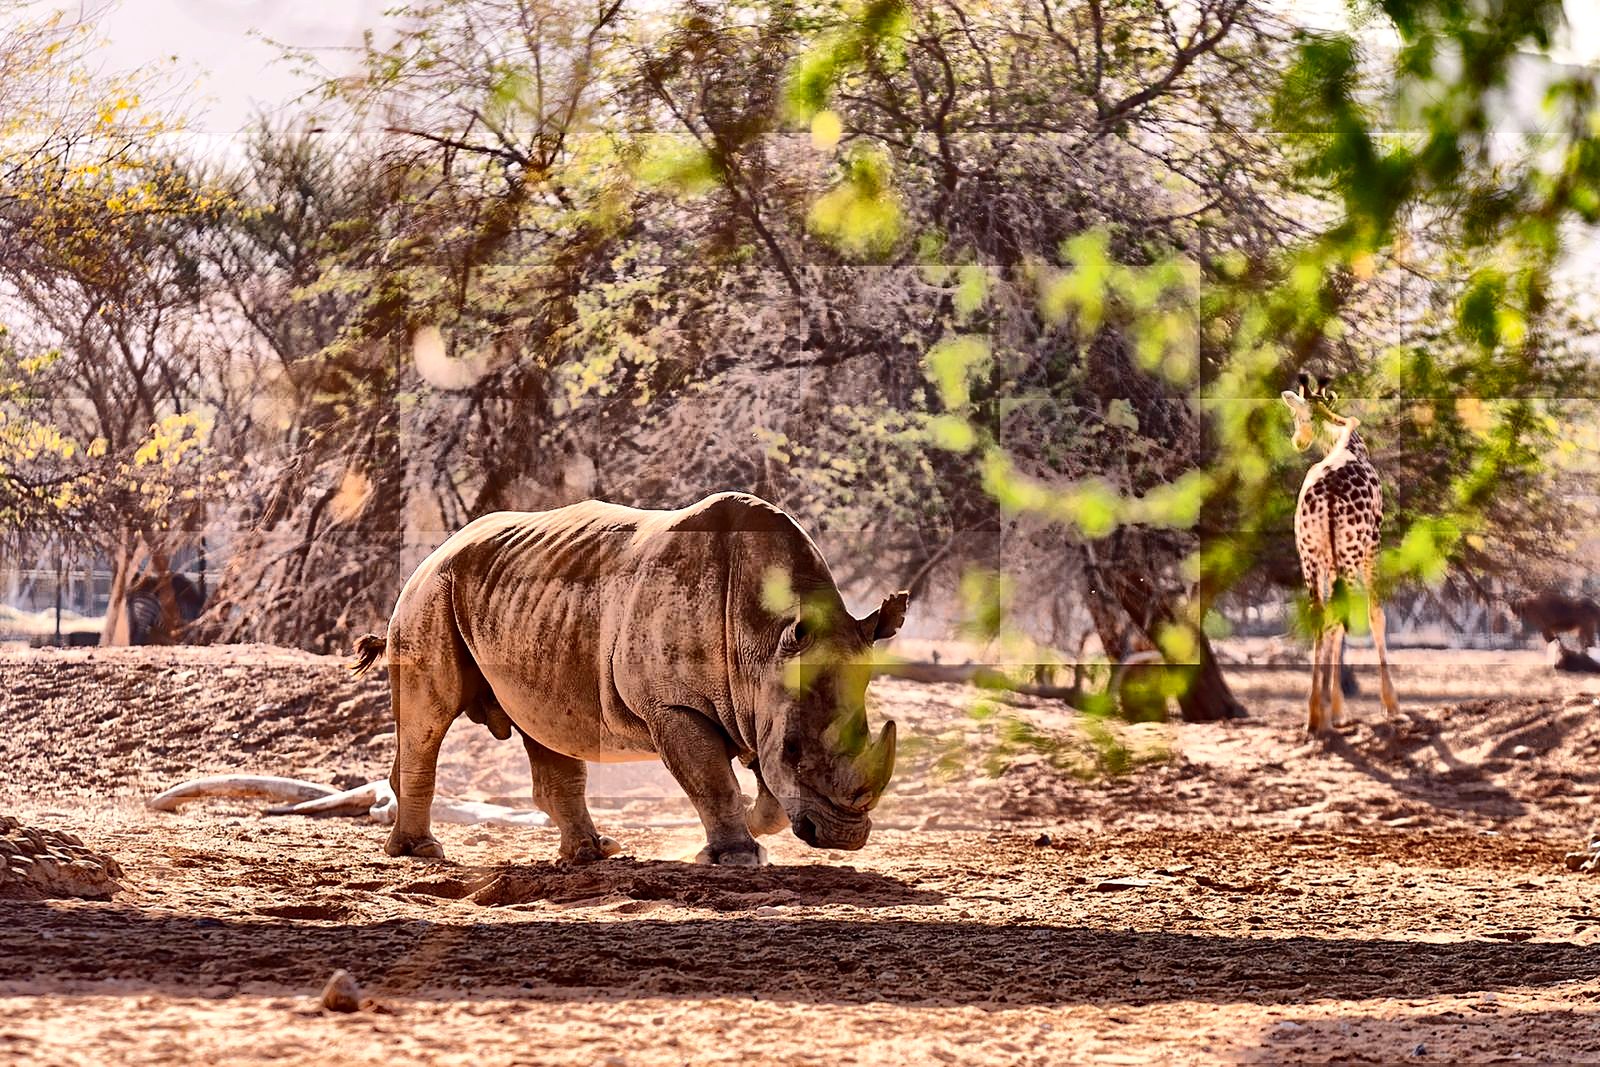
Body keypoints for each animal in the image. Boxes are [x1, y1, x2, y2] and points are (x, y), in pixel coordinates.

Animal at [351, 491, 907, 866]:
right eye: (796, 752)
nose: (843, 838)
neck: (764, 637)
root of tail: (438, 549)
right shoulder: (674, 705)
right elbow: (712, 780)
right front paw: (737, 859)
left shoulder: (757, 695)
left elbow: (758, 780)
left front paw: (755, 825)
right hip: (429, 591)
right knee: (430, 718)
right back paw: (421, 853)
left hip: (522, 602)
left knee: (544, 722)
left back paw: (591, 854)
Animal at [1280, 374, 1400, 735]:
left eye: (1297, 416)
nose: (1297, 441)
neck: (1346, 440)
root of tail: (1329, 495)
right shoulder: (1373, 544)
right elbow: (1376, 614)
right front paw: (1391, 704)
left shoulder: (1325, 559)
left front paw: (1334, 708)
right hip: (1350, 551)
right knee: (1341, 612)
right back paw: (1325, 712)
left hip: (1309, 554)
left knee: (1321, 613)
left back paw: (1313, 714)